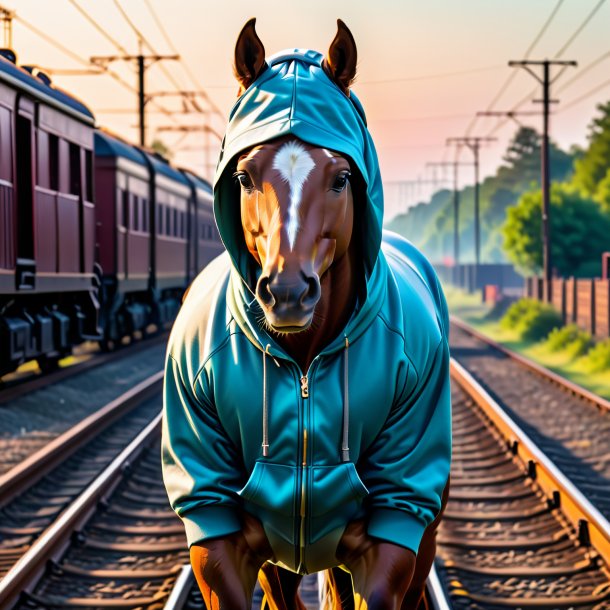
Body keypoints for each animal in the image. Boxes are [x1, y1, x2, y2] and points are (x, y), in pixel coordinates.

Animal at [162, 16, 452, 604]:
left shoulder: (393, 534)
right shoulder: (217, 530)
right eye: (244, 177)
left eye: (340, 178)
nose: (289, 292)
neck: (303, 362)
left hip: (421, 531)